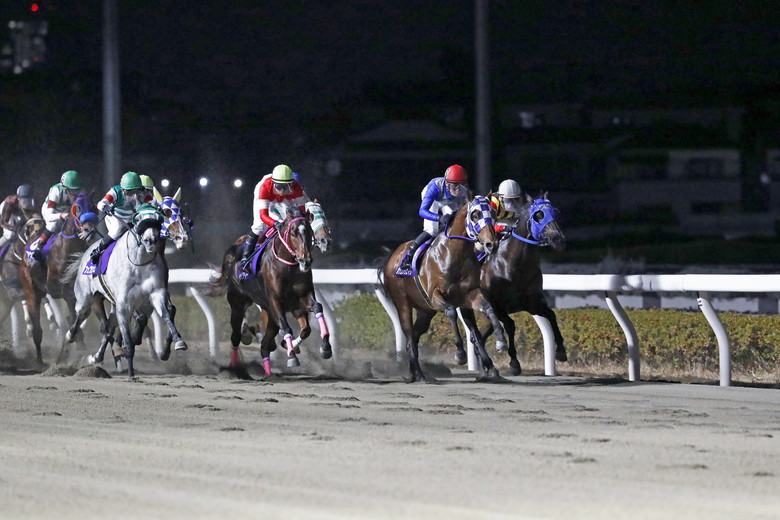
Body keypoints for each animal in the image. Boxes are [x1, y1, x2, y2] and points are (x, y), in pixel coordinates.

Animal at [19, 192, 99, 364]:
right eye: (77, 208)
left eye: (93, 206)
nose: (89, 230)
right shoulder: (62, 289)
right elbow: (76, 312)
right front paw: (72, 340)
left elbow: (81, 313)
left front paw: (76, 341)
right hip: (32, 291)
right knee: (36, 330)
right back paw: (40, 361)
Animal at [63, 204, 187, 378]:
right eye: (139, 218)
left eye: (159, 217)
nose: (150, 240)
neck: (139, 262)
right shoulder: (124, 302)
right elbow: (129, 334)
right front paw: (130, 371)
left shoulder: (156, 292)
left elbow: (167, 313)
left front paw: (177, 343)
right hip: (86, 297)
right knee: (82, 314)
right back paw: (71, 336)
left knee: (108, 328)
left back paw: (96, 357)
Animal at [210, 205, 331, 377]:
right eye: (293, 233)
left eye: (309, 231)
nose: (305, 260)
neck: (288, 266)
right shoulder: (275, 302)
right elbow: (287, 327)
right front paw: (292, 356)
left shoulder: (302, 298)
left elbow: (315, 312)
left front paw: (325, 347)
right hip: (237, 304)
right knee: (236, 336)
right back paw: (235, 368)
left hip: (269, 315)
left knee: (264, 345)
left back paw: (268, 372)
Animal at [381, 195, 507, 383]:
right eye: (475, 215)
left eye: (493, 213)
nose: (492, 244)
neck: (454, 255)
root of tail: (392, 258)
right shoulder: (435, 296)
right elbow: (451, 312)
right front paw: (460, 354)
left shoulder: (470, 294)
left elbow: (488, 308)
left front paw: (500, 341)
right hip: (403, 304)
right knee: (409, 337)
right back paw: (420, 375)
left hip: (425, 312)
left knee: (415, 337)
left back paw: (414, 373)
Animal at [466, 193, 567, 376]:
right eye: (538, 215)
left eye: (556, 212)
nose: (558, 240)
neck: (513, 264)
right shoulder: (496, 306)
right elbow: (510, 325)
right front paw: (514, 363)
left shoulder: (532, 303)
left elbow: (551, 315)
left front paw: (561, 352)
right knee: (477, 338)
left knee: (479, 338)